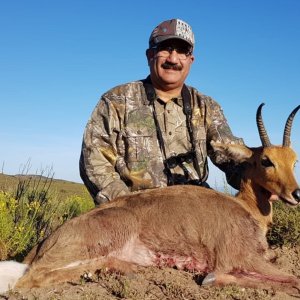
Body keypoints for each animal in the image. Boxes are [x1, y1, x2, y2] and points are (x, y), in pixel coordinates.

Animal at [0, 104, 300, 294]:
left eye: (294, 160)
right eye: (266, 160)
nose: (296, 193)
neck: (246, 208)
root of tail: (42, 243)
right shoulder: (240, 257)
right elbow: (293, 280)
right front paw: (213, 279)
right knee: (29, 280)